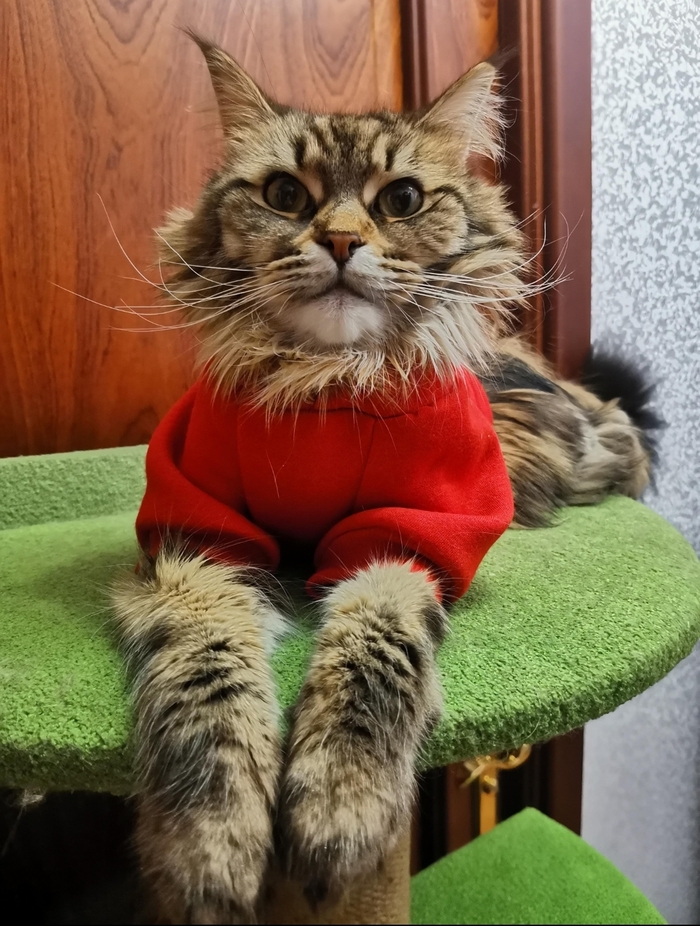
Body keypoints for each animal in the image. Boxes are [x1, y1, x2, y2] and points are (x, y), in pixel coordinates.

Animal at [113, 33, 659, 924]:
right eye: (285, 194)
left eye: (401, 198)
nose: (340, 241)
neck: (328, 387)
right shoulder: (201, 537)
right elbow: (208, 678)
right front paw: (212, 841)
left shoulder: (408, 532)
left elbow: (372, 653)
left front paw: (342, 806)